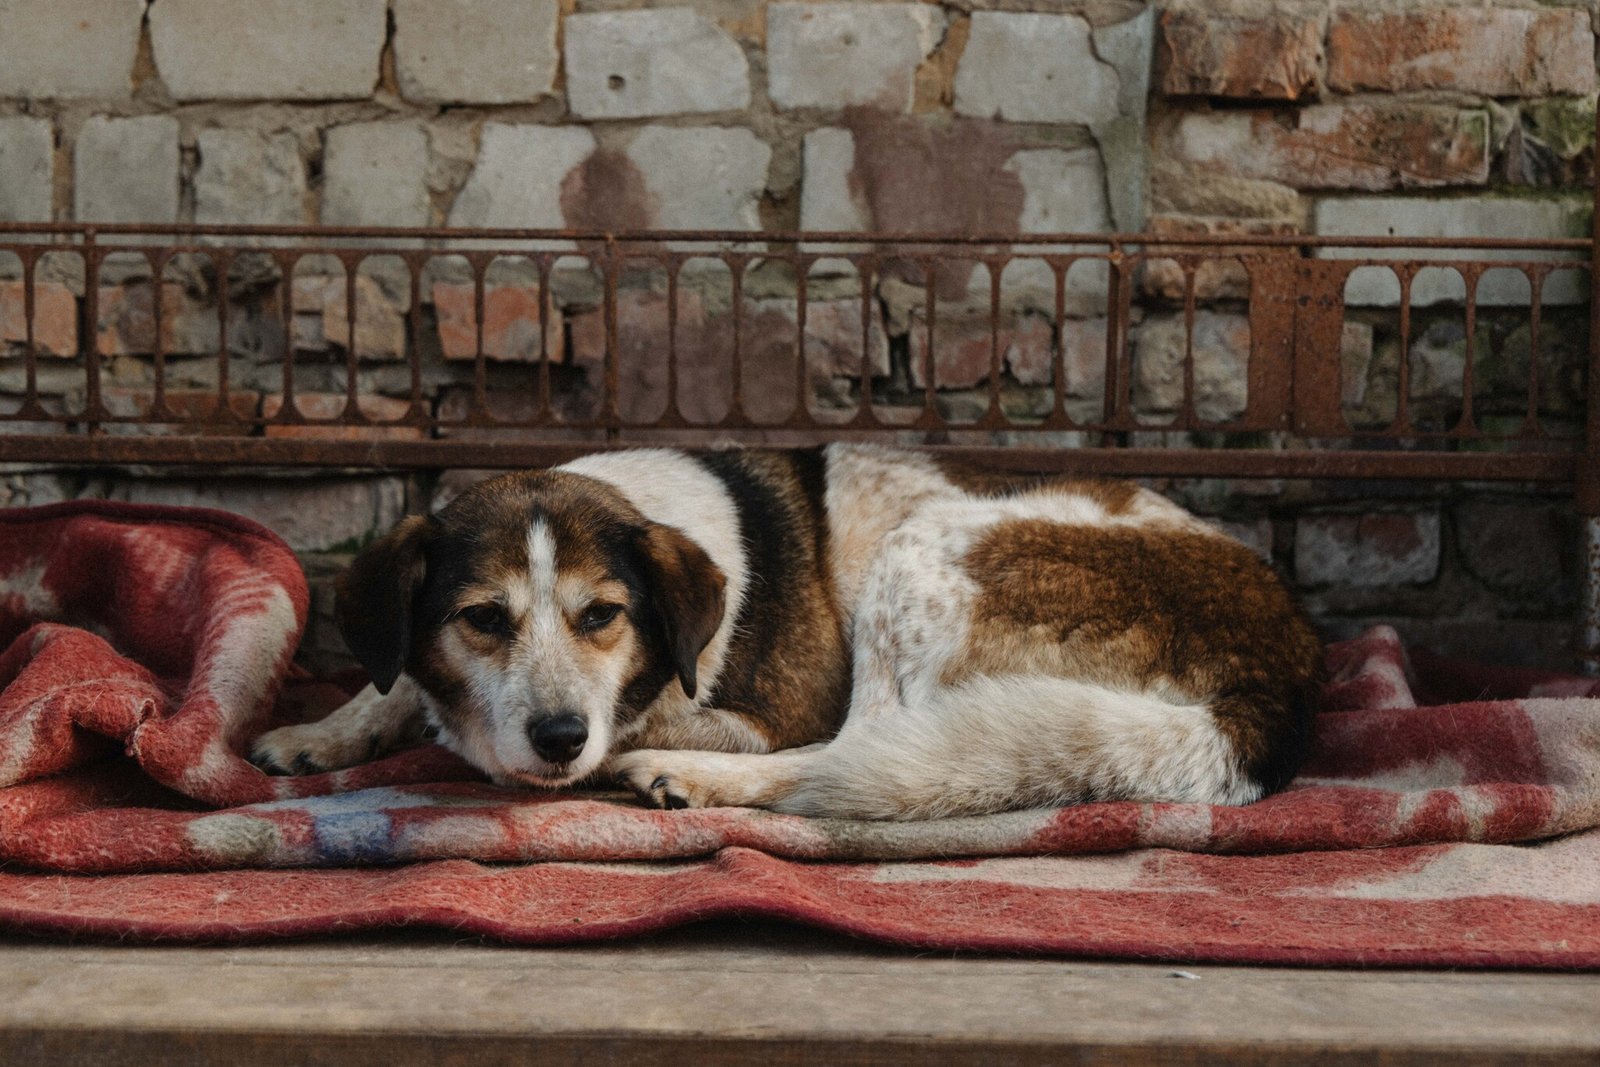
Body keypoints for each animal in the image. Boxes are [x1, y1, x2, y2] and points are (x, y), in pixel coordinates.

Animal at [251, 444, 1322, 820]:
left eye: (602, 615)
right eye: (482, 618)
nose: (558, 739)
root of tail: (1279, 671)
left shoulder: (778, 703)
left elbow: (660, 713)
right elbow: (392, 680)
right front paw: (317, 734)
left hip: (923, 553)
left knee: (863, 747)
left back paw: (681, 777)